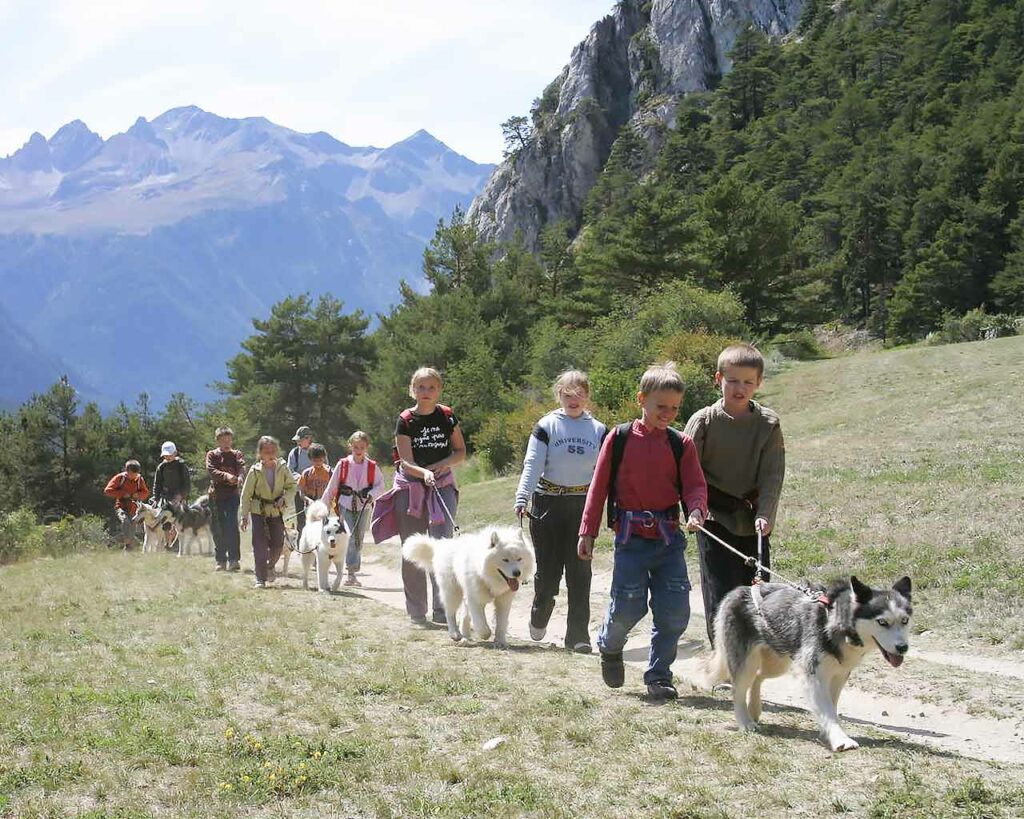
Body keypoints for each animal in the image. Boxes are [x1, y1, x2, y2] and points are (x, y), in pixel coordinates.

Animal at [401, 528, 536, 651]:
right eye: (505, 560)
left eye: (519, 559)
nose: (517, 573)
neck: (486, 575)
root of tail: (441, 545)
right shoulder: (475, 599)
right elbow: (480, 624)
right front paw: (486, 634)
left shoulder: (503, 601)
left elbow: (501, 623)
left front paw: (500, 642)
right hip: (452, 592)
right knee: (450, 613)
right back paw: (455, 634)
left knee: (464, 616)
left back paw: (465, 637)